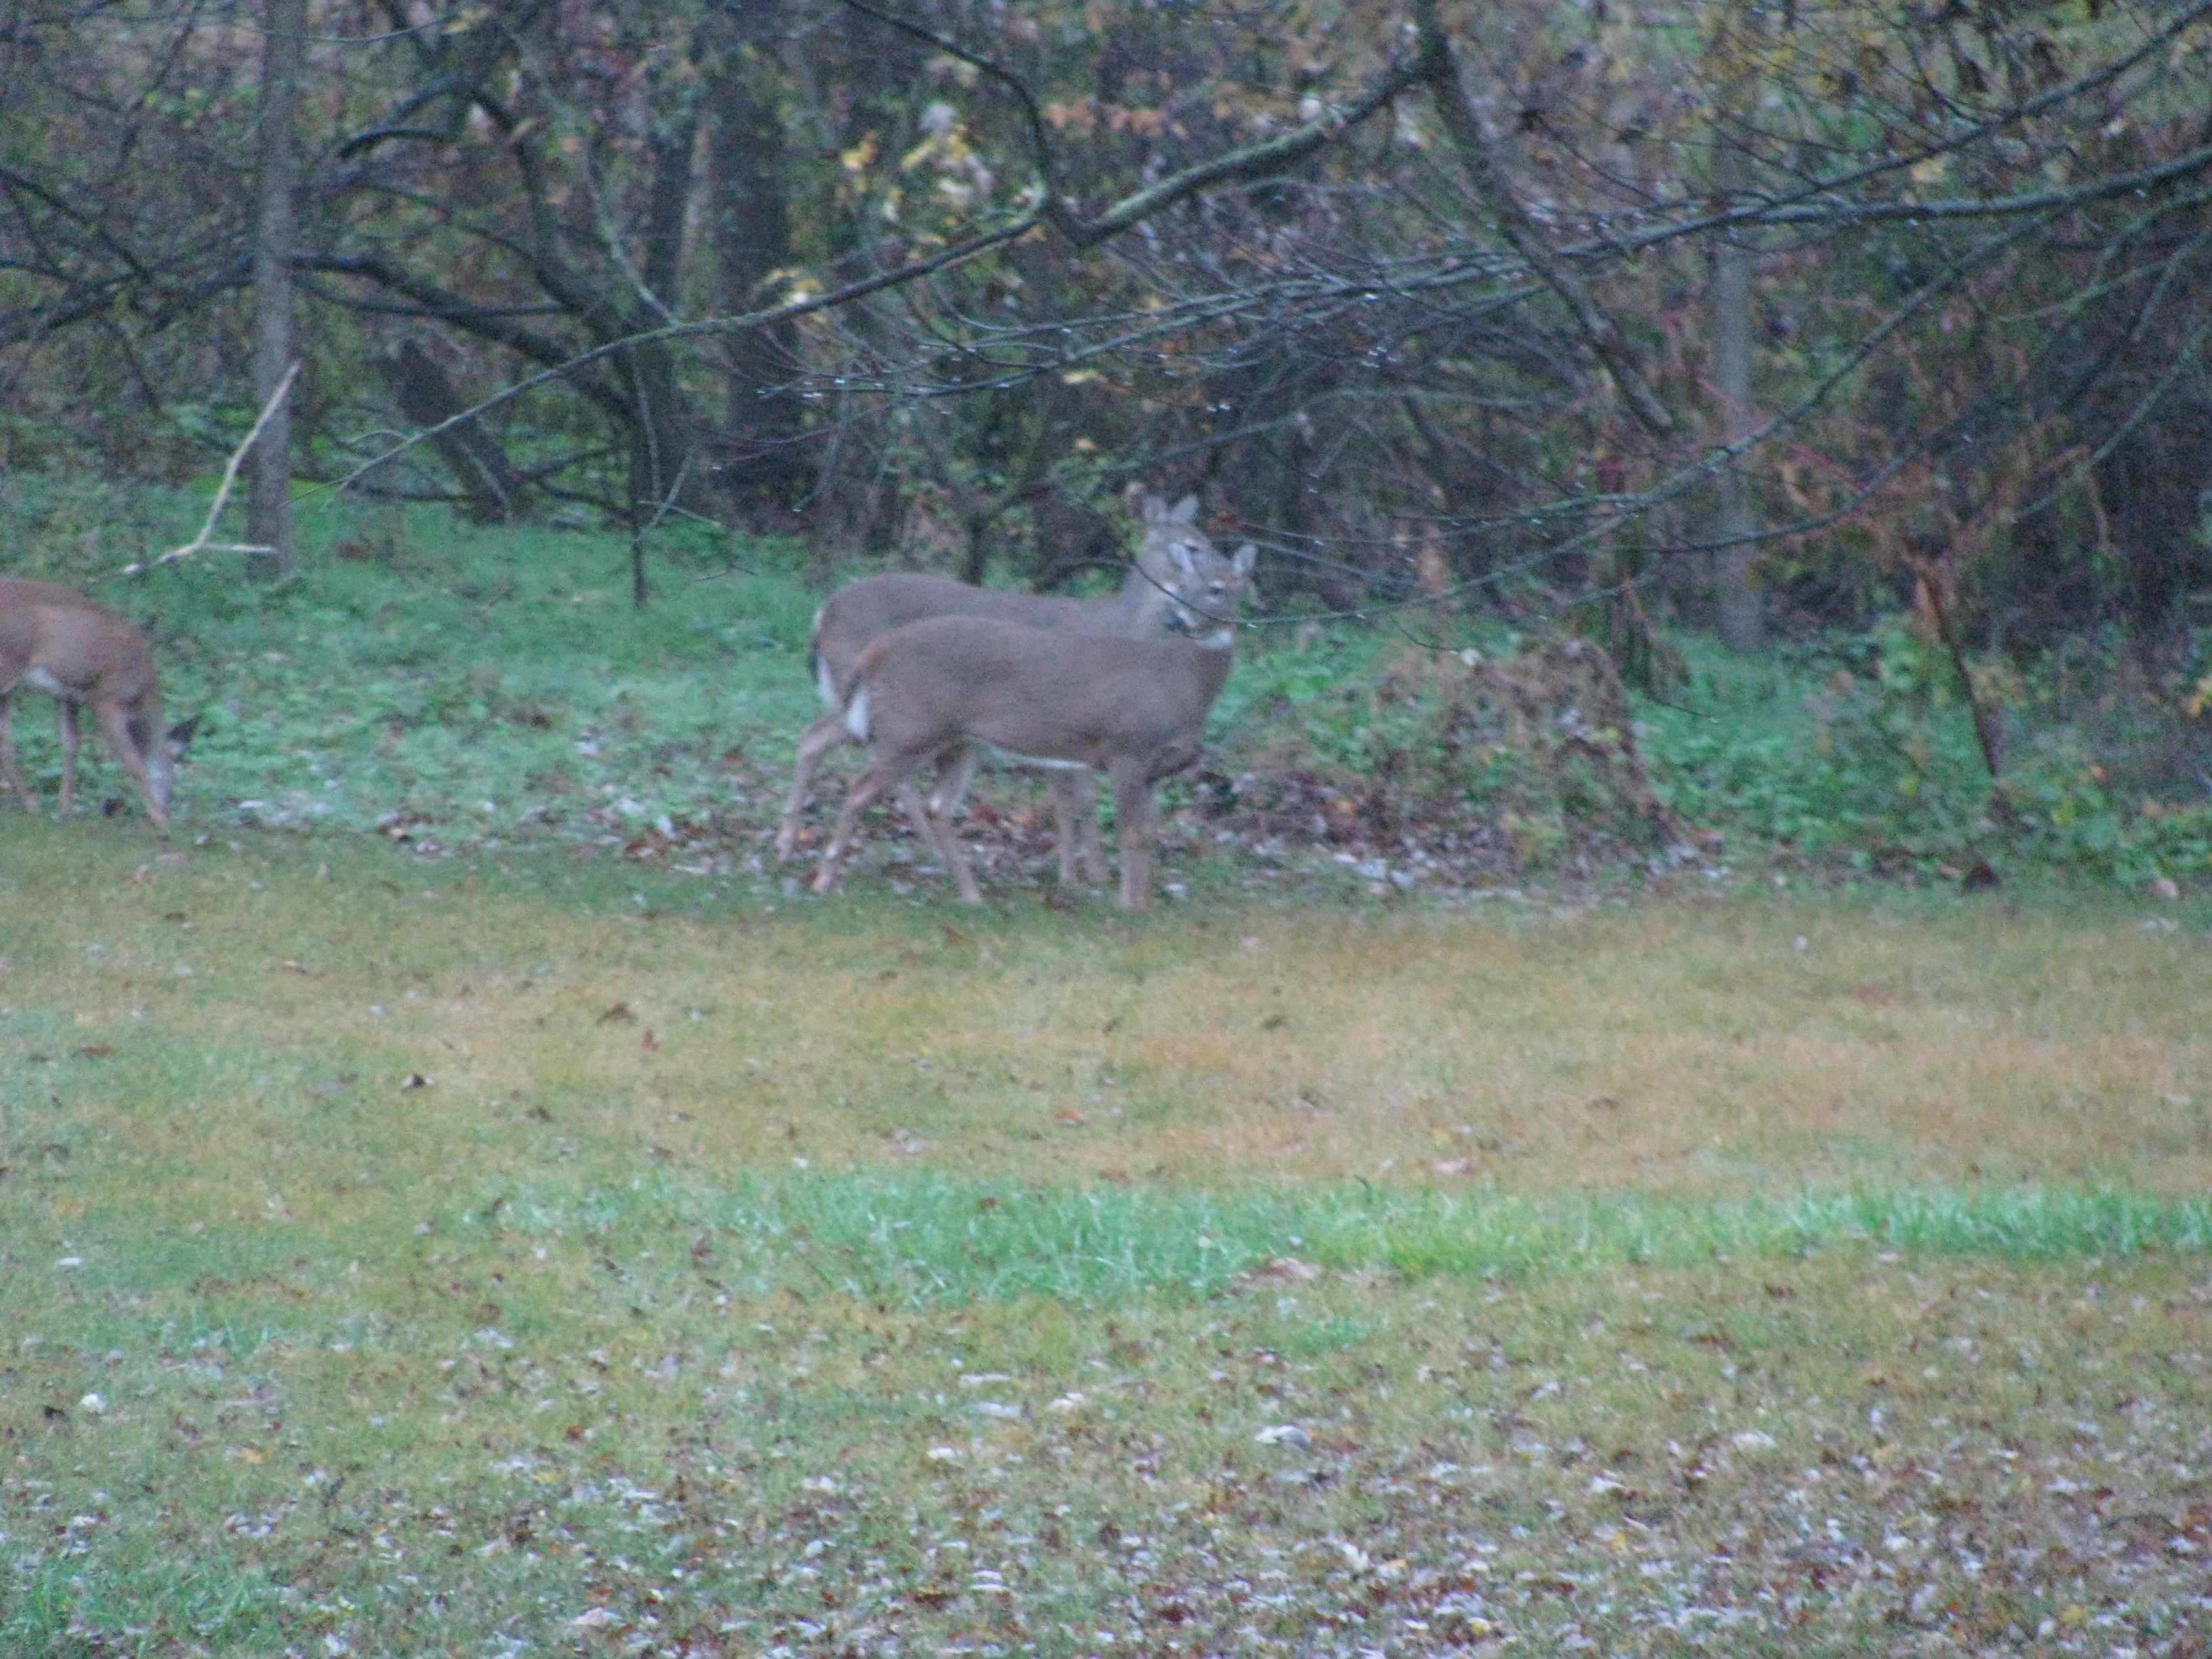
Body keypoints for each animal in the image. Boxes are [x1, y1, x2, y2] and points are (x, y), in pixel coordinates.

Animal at [0, 579, 195, 832]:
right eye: (173, 780)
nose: (168, 810)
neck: (142, 693)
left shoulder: (70, 695)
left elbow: (71, 745)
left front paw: (63, 811)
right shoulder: (105, 699)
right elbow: (132, 760)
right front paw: (159, 819)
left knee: (5, 742)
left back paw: (30, 804)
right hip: (8, 664)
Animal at [778, 493, 1238, 889]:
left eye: (1204, 544)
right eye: (1189, 549)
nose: (1227, 577)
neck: (1125, 627)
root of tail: (823, 612)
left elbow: (1077, 795)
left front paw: (1087, 873)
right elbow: (1077, 797)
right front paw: (1085, 876)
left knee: (816, 740)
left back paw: (794, 849)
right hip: (869, 690)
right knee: (859, 759)